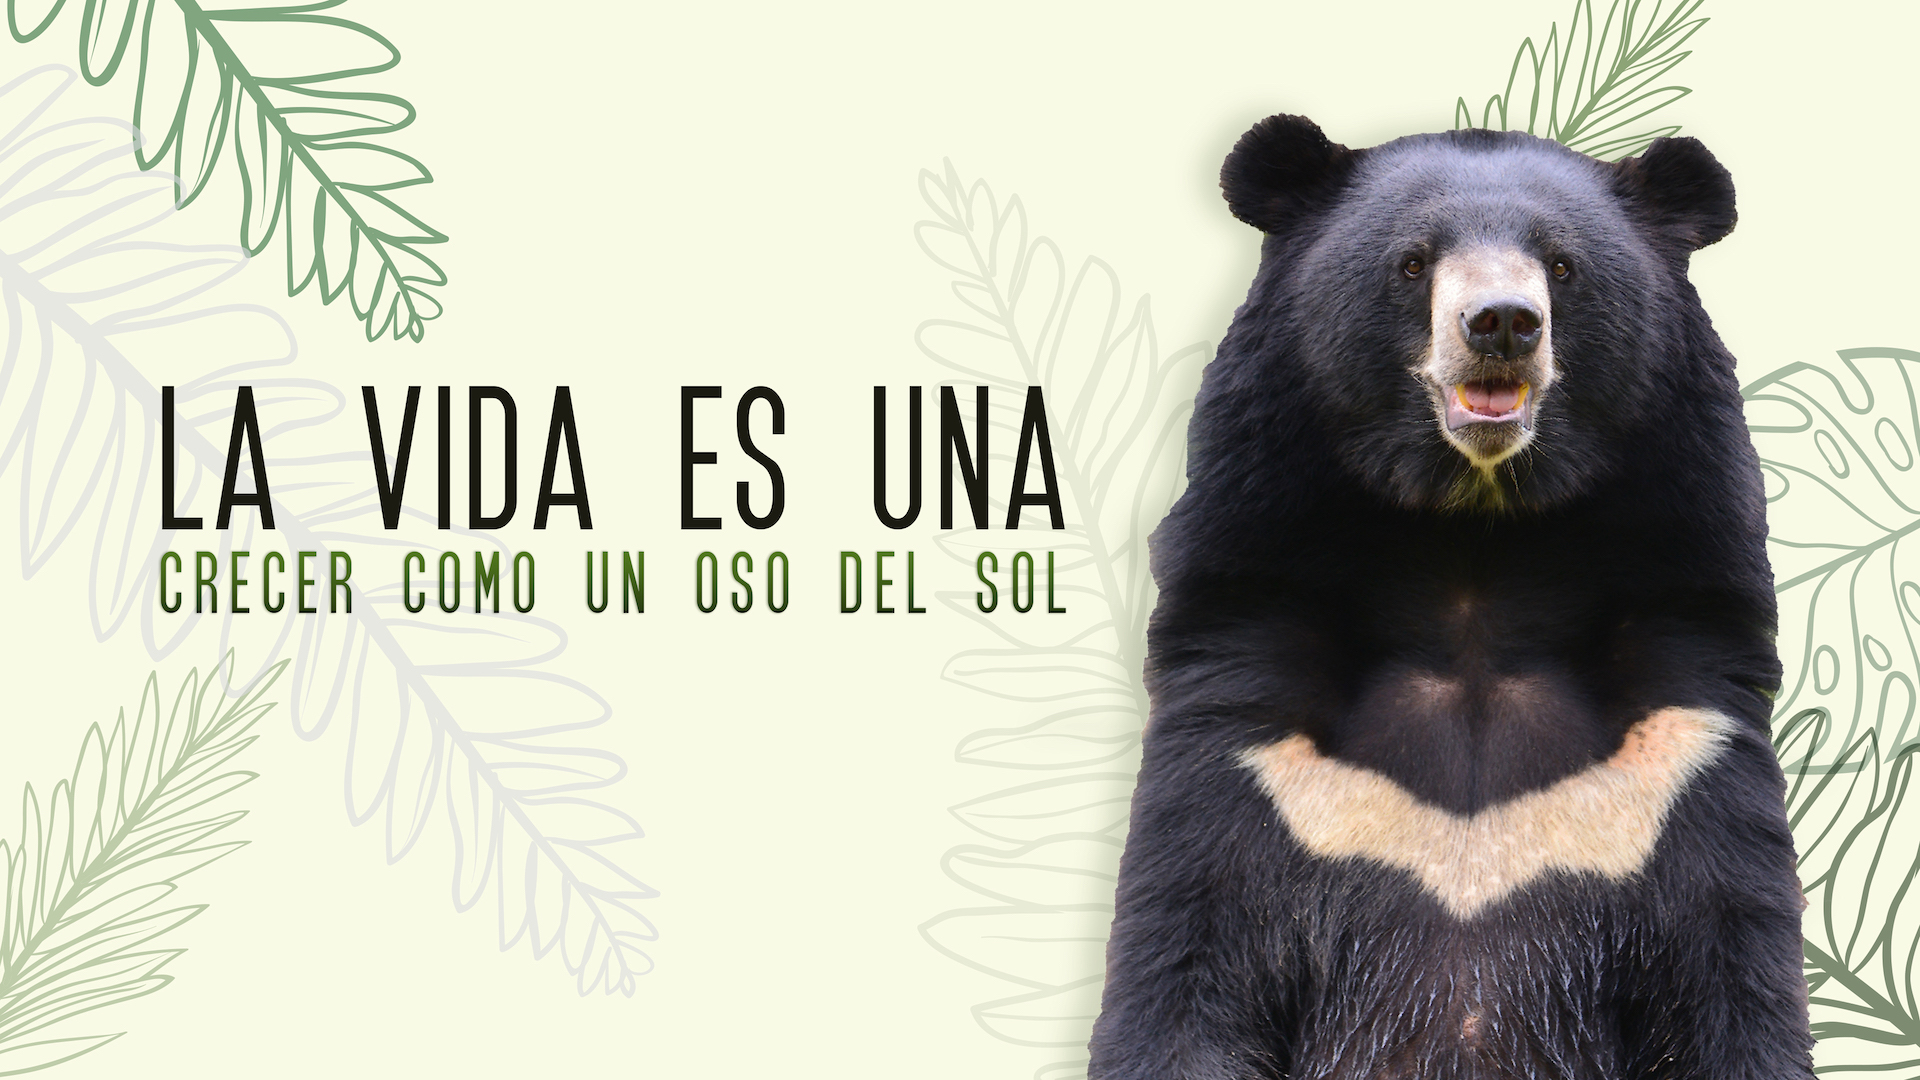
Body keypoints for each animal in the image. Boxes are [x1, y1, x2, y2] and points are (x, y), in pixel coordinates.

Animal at [1086, 115, 1812, 1080]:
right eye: (1412, 262)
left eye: (1563, 265)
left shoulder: (1679, 748)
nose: (1502, 323)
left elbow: (1733, 978)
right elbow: (1185, 959)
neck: (1475, 544)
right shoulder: (1250, 742)